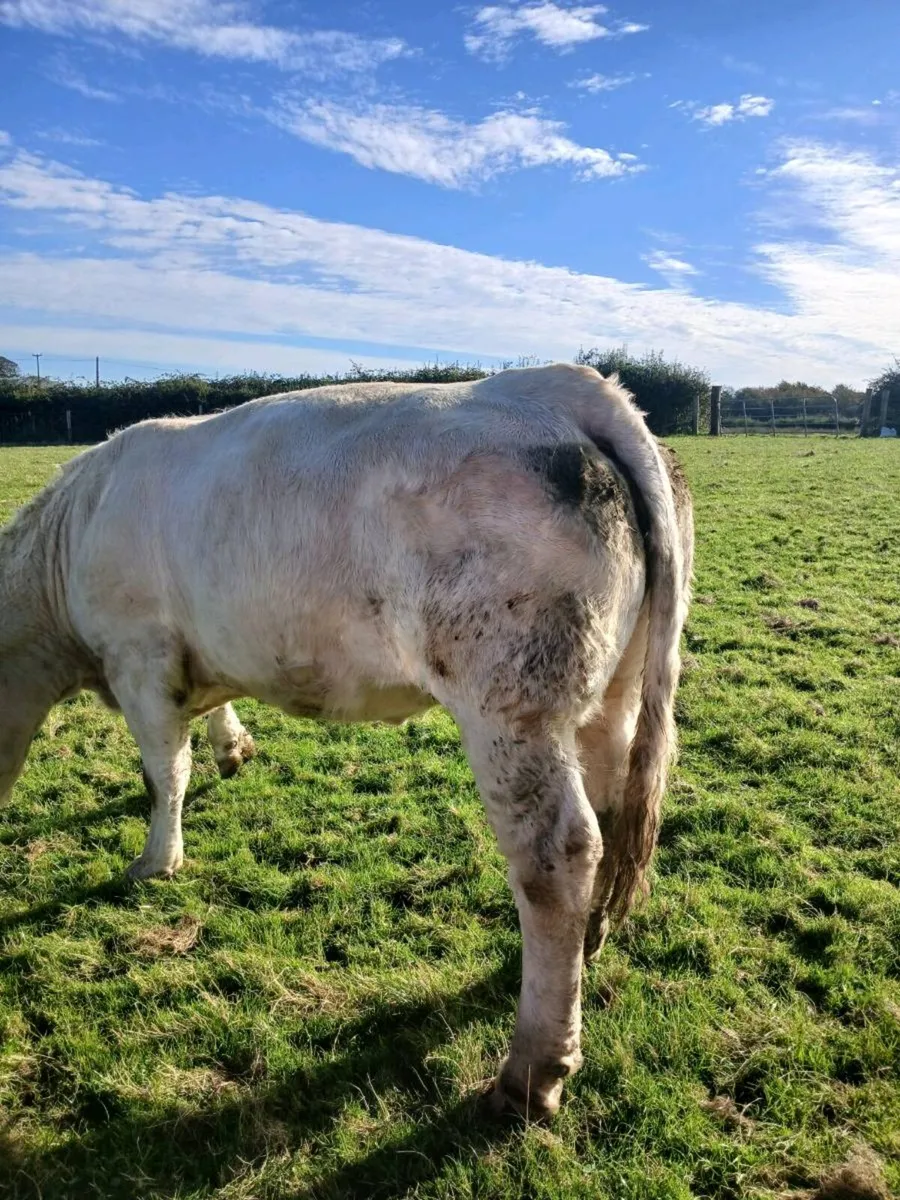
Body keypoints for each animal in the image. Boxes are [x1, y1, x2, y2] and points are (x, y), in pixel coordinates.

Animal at [0, 363, 692, 1120]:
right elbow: (210, 716)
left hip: (512, 703)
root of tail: (564, 386)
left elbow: (164, 771)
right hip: (612, 688)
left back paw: (531, 1071)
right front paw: (232, 748)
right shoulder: (195, 655)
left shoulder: (139, 656)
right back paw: (592, 940)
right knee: (611, 804)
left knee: (558, 853)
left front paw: (157, 860)